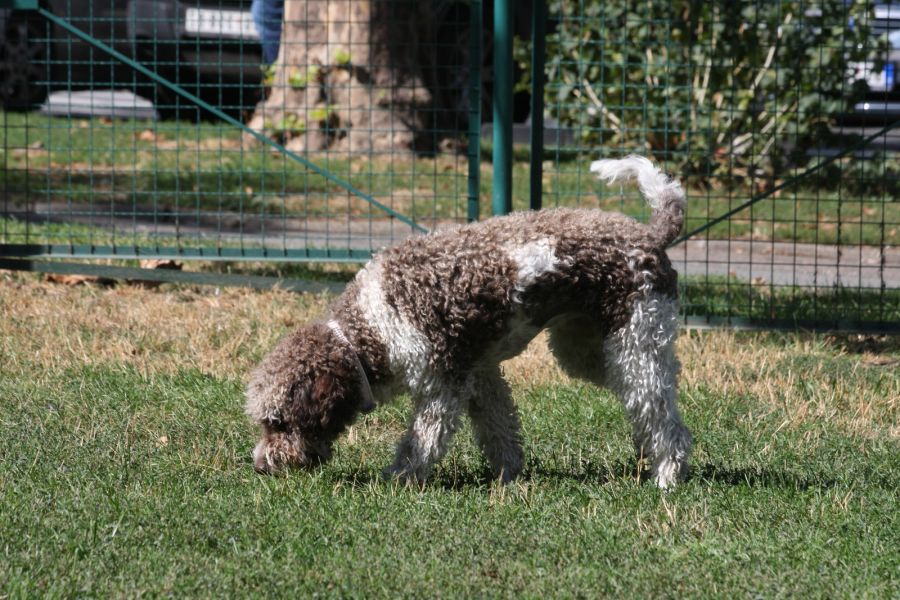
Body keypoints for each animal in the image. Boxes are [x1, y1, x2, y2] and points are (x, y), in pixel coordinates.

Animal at [246, 154, 688, 488]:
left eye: (277, 421)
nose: (261, 465)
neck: (371, 329)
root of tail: (650, 234)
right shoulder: (480, 374)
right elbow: (499, 430)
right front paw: (508, 477)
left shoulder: (444, 383)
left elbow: (422, 441)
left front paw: (399, 479)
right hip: (590, 350)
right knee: (651, 398)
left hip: (635, 343)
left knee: (664, 417)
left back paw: (667, 476)